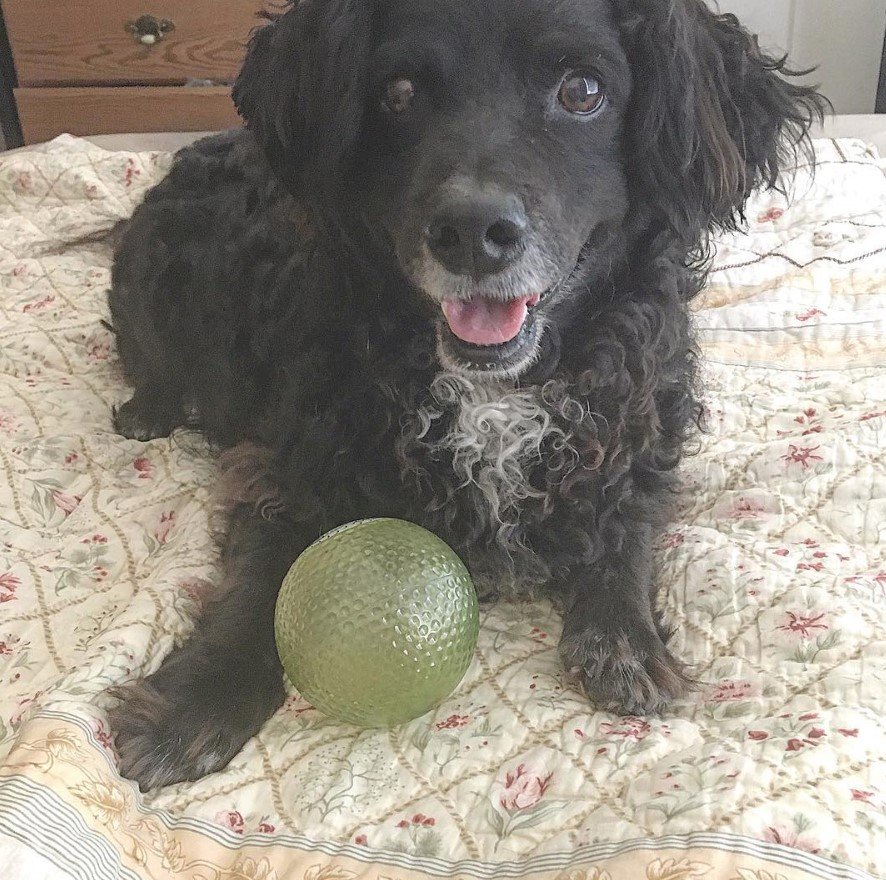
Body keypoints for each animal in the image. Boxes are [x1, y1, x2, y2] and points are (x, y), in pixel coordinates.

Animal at [107, 0, 828, 792]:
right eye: (398, 93)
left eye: (583, 90)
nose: (473, 233)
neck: (496, 392)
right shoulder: (284, 462)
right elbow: (260, 577)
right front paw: (196, 699)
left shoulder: (641, 435)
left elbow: (626, 533)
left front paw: (627, 641)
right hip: (153, 281)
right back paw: (147, 411)